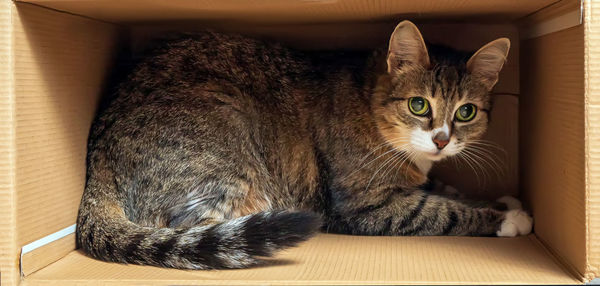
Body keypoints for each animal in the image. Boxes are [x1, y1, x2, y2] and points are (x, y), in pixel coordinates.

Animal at [77, 20, 532, 270]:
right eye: (419, 104)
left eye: (467, 112)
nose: (441, 139)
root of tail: (98, 150)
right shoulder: (365, 206)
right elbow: (442, 211)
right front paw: (507, 219)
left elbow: (446, 190)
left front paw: (504, 201)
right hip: (226, 145)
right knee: (195, 229)